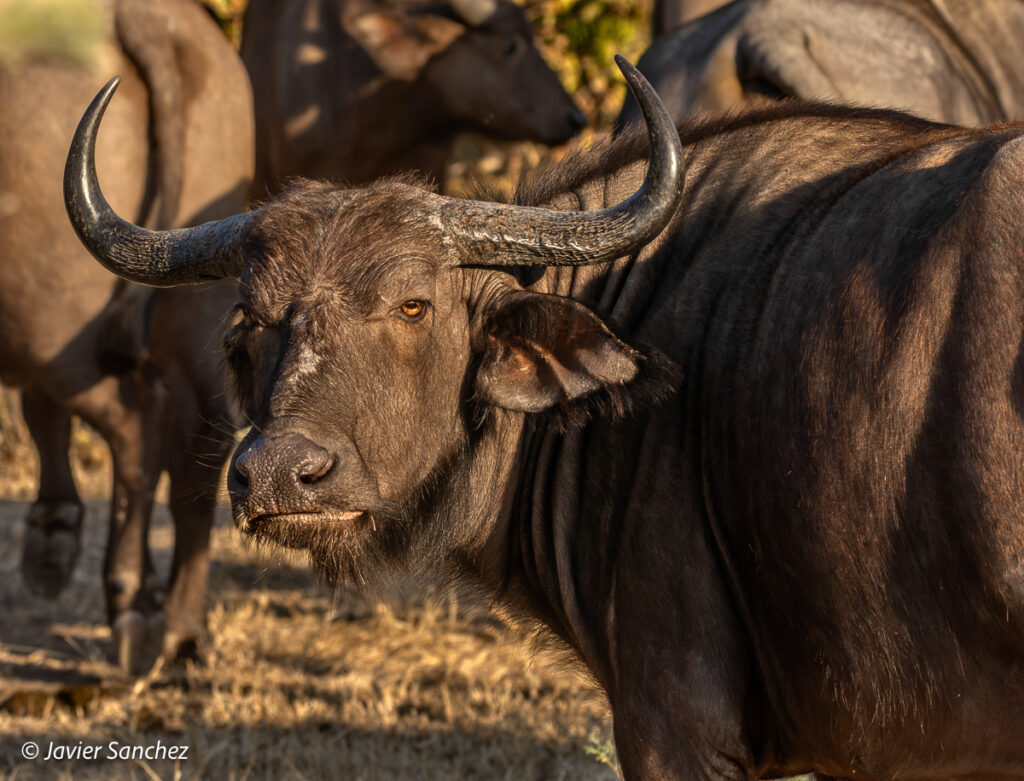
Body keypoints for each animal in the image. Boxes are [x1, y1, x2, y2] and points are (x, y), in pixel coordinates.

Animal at [0, 0, 252, 670]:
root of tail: (137, 17)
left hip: (49, 320)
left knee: (133, 422)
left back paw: (132, 604)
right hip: (199, 285)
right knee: (200, 443)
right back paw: (179, 628)